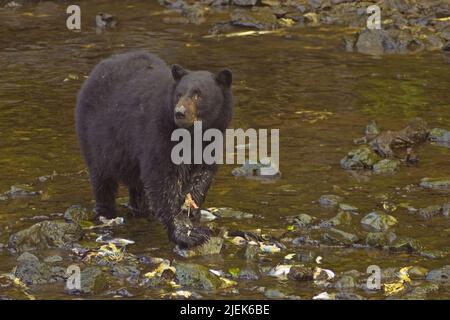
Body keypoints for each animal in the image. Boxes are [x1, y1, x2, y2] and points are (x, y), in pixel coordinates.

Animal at [74, 52, 232, 248]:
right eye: (179, 94)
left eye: (198, 95)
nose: (179, 112)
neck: (192, 135)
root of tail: (95, 72)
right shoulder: (158, 135)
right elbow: (163, 180)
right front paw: (186, 233)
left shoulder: (210, 142)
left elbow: (202, 175)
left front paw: (191, 210)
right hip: (97, 137)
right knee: (102, 179)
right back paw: (107, 212)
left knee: (138, 186)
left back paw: (143, 210)